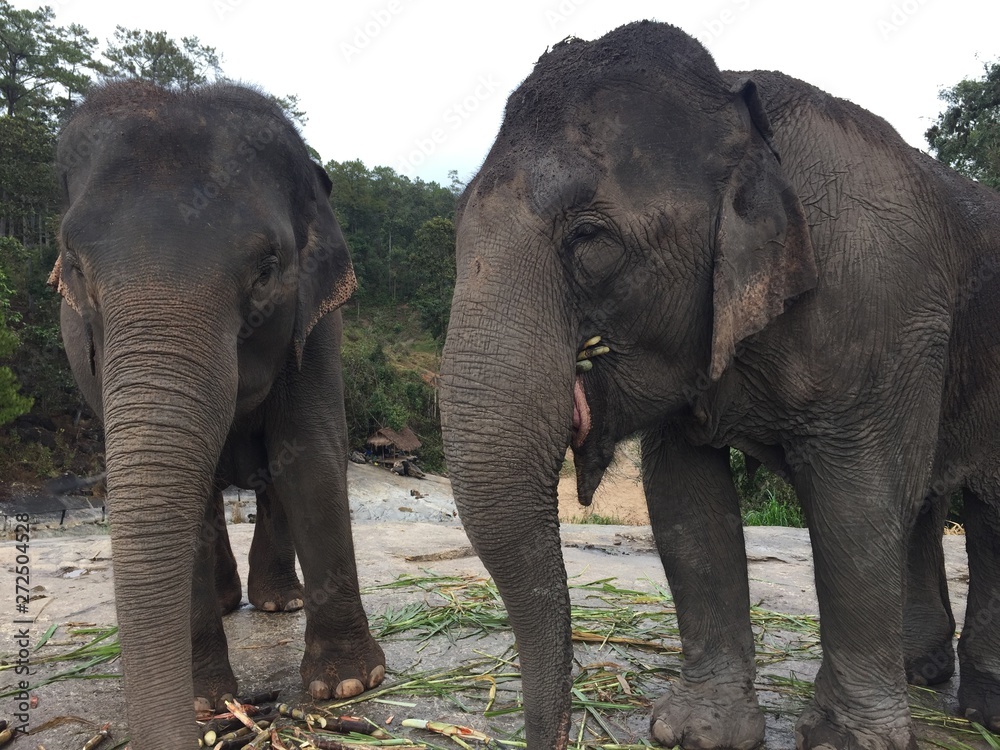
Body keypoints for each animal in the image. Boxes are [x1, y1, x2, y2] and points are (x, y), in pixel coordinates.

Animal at [50, 80, 385, 748]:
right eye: (75, 266)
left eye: (267, 270)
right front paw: (205, 702)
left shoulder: (317, 320)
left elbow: (310, 453)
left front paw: (348, 685)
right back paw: (235, 604)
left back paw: (280, 604)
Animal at [440, 21, 1000, 750]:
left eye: (590, 238)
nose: (559, 734)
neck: (738, 108)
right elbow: (686, 503)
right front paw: (696, 730)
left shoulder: (885, 309)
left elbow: (859, 501)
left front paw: (841, 741)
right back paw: (919, 673)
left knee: (985, 510)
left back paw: (983, 709)